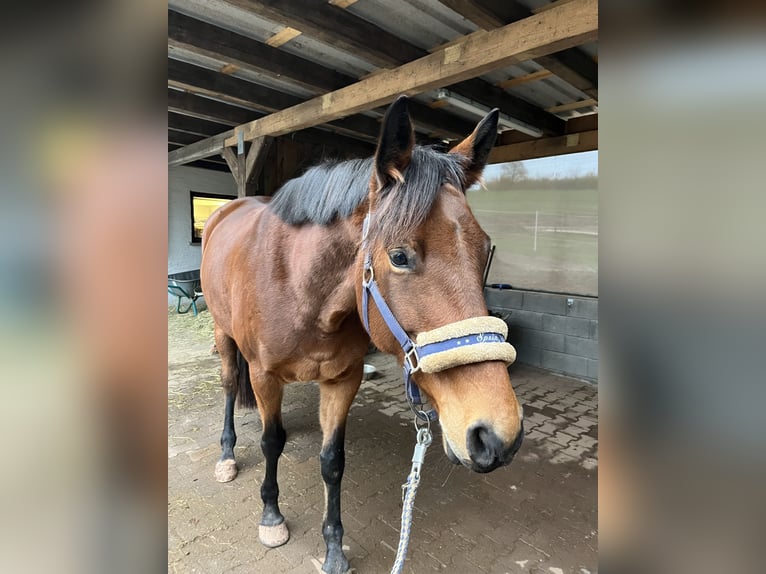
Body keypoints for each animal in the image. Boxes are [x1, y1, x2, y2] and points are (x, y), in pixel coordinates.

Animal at [201, 97, 524, 572]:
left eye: (484, 251)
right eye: (399, 256)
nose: (498, 435)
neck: (298, 286)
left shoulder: (342, 379)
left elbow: (332, 461)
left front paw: (334, 547)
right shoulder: (262, 375)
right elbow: (271, 442)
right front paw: (271, 516)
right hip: (223, 334)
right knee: (228, 386)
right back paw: (226, 456)